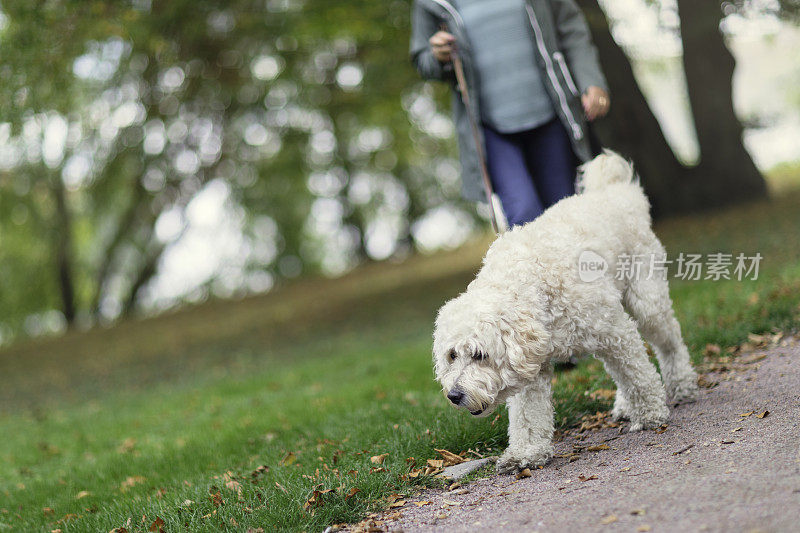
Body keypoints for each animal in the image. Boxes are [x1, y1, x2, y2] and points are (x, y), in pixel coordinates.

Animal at [434, 151, 696, 474]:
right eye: (452, 356)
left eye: (480, 355)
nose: (454, 395)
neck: (533, 281)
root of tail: (617, 193)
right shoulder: (531, 369)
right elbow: (527, 416)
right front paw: (526, 453)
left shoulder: (614, 331)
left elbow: (638, 375)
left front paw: (650, 414)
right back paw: (625, 405)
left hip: (647, 302)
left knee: (668, 344)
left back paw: (682, 384)